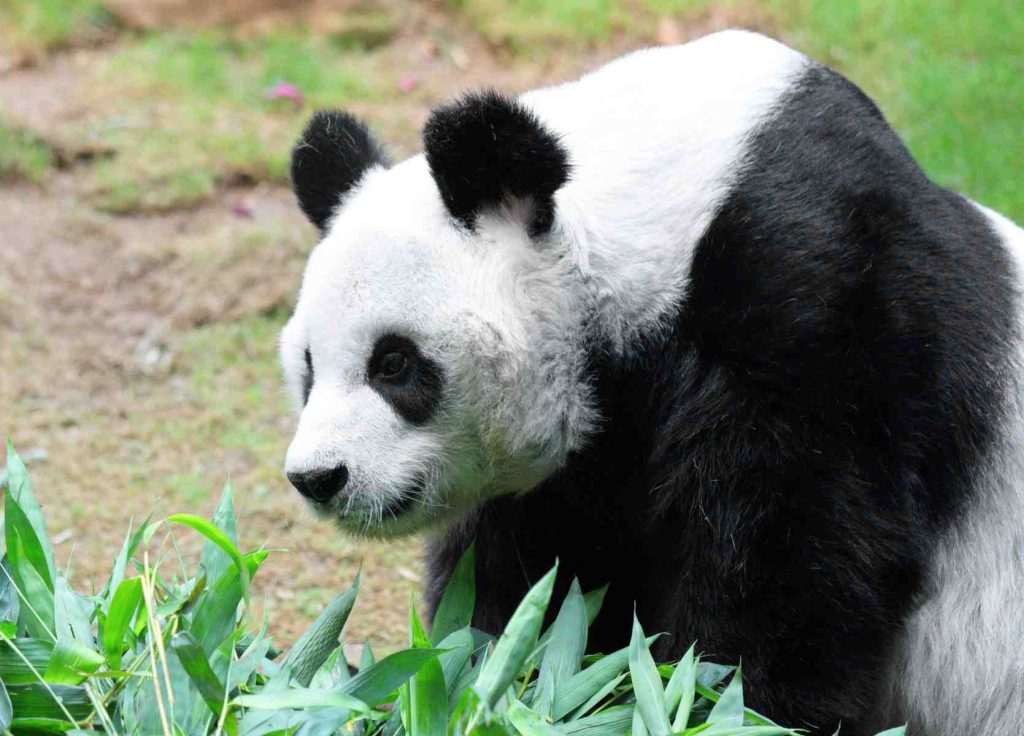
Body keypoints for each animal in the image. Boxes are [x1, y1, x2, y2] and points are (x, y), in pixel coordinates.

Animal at [279, 30, 1024, 735]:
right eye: (310, 365)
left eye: (394, 363)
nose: (319, 477)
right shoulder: (570, 472)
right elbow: (528, 584)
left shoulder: (824, 311)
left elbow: (797, 561)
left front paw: (707, 700)